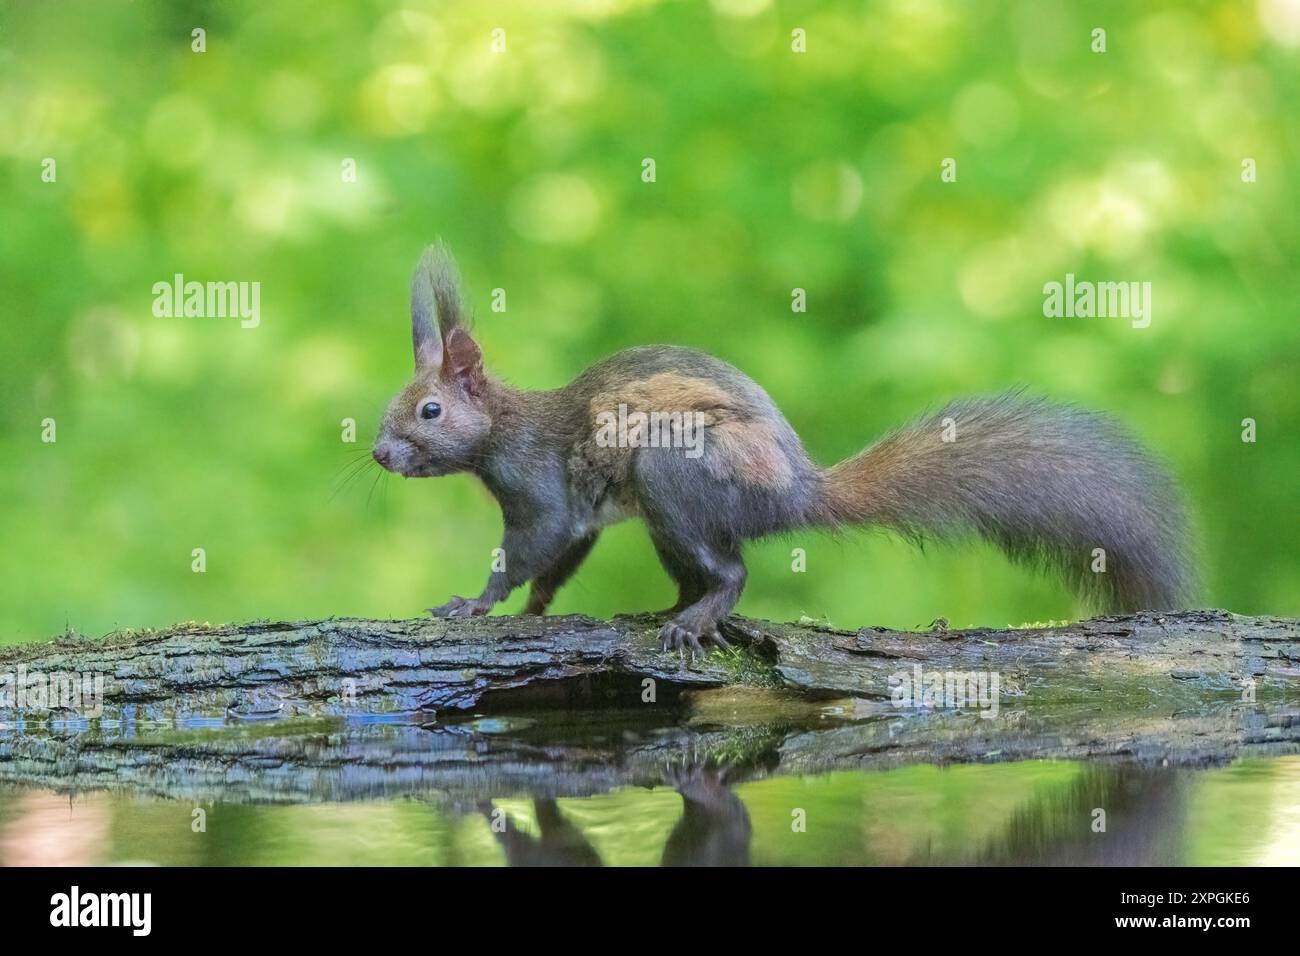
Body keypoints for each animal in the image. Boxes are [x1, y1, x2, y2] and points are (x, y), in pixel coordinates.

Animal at [373, 244, 1193, 654]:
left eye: (430, 409)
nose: (380, 454)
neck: (504, 428)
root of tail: (797, 491)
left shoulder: (542, 493)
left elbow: (527, 551)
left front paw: (473, 604)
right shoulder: (580, 519)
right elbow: (558, 565)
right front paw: (537, 611)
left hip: (678, 475)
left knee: (732, 571)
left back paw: (694, 621)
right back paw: (677, 607)